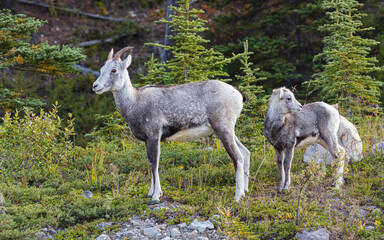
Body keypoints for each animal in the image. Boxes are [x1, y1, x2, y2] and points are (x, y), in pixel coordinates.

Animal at [91, 46, 250, 202]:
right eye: (102, 69)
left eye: (114, 70)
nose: (95, 86)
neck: (134, 103)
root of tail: (238, 94)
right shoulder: (148, 140)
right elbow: (150, 162)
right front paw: (150, 193)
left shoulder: (154, 135)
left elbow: (154, 163)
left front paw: (155, 196)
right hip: (228, 130)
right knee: (246, 152)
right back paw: (245, 191)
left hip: (223, 129)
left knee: (238, 157)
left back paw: (237, 196)